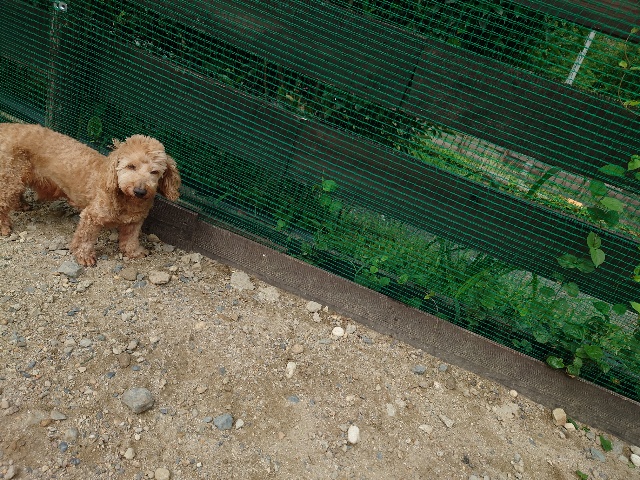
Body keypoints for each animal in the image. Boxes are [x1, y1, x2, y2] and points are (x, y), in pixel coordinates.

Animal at [0, 123, 180, 266]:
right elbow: (85, 239)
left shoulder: (135, 221)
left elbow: (131, 238)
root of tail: (6, 126)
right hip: (12, 177)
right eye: (131, 166)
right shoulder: (91, 217)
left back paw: (21, 204)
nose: (140, 191)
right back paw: (4, 227)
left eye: (154, 172)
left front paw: (134, 252)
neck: (125, 198)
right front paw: (84, 256)